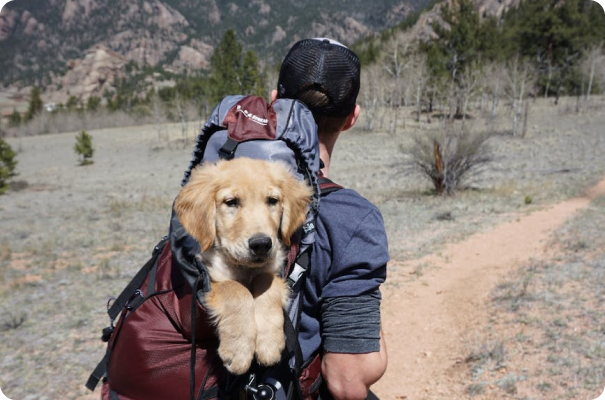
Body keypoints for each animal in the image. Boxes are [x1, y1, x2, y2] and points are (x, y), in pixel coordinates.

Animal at [173, 157, 312, 376]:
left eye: (272, 200)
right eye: (231, 202)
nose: (261, 244)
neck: (245, 268)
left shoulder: (272, 269)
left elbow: (266, 283)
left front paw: (269, 343)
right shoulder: (209, 277)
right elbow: (236, 289)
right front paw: (238, 350)